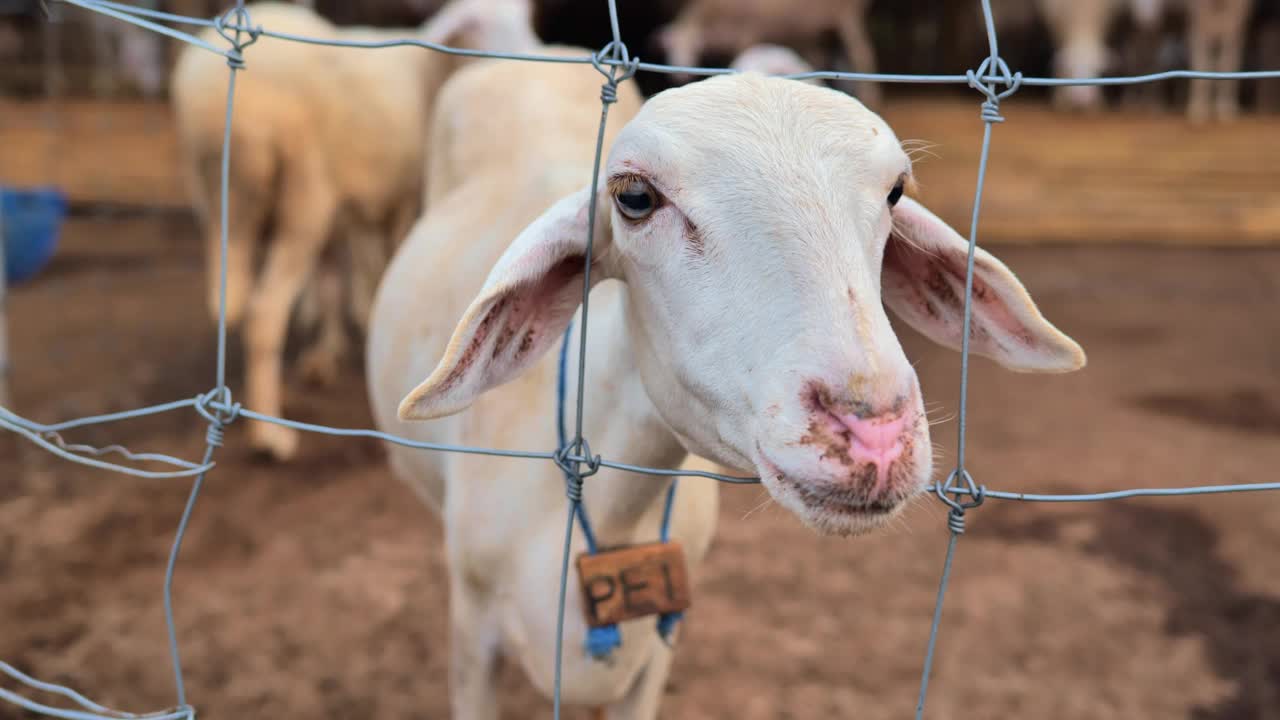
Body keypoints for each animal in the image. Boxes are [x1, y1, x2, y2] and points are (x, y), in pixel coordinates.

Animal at [167, 0, 537, 458]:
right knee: (264, 312)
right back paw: (270, 436)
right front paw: (365, 321)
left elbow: (332, 278)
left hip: (224, 201)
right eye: (476, 24)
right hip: (303, 195)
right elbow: (378, 262)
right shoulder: (398, 197)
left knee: (232, 299)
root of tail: (213, 96)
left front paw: (326, 352)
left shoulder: (344, 206)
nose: (530, 55)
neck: (433, 68)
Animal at [650, 0, 880, 107]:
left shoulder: (748, 33)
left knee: (861, 57)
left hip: (847, 17)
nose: (678, 74)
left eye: (692, 47)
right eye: (670, 50)